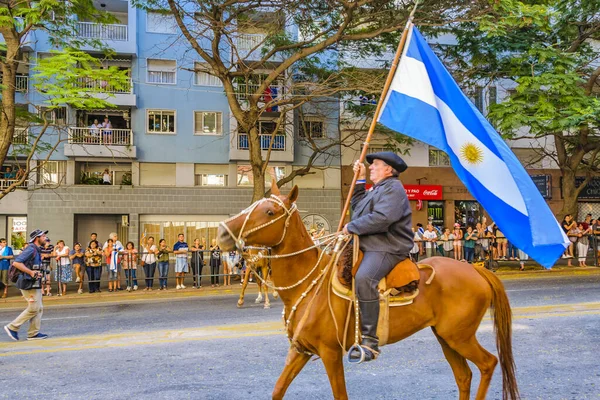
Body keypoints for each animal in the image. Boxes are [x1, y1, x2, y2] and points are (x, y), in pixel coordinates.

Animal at [217, 187, 520, 400]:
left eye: (269, 212)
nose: (222, 233)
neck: (309, 284)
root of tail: (477, 270)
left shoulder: (330, 353)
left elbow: (340, 394)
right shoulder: (300, 350)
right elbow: (278, 389)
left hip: (459, 336)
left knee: (488, 364)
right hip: (447, 337)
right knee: (464, 376)